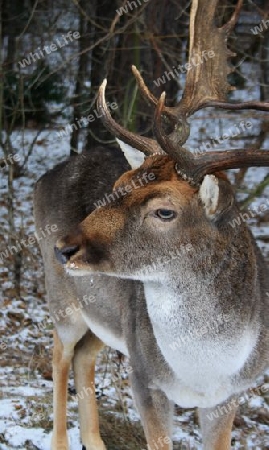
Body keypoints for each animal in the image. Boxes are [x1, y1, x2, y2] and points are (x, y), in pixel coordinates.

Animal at [33, 0, 268, 450]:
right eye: (118, 185)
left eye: (164, 211)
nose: (65, 247)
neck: (204, 371)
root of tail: (42, 178)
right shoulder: (144, 378)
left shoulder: (233, 394)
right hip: (62, 299)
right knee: (59, 353)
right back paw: (61, 441)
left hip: (106, 316)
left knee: (85, 357)